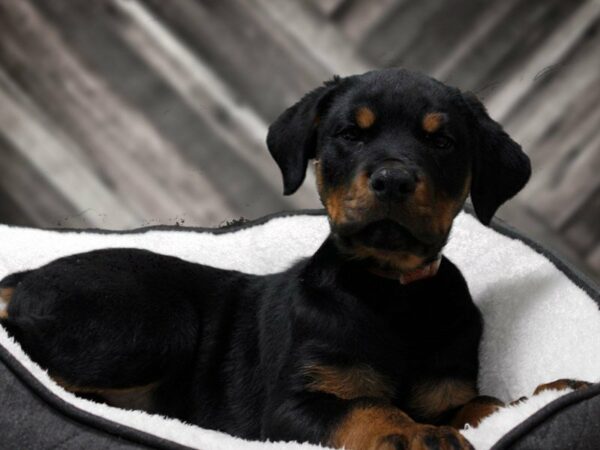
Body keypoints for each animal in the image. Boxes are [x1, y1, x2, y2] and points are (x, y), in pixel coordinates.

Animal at [2, 68, 532, 448]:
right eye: (349, 134)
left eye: (442, 141)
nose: (392, 180)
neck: (387, 289)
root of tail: (26, 279)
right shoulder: (290, 407)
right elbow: (364, 407)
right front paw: (414, 434)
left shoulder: (446, 393)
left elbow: (485, 404)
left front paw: (530, 398)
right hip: (159, 325)